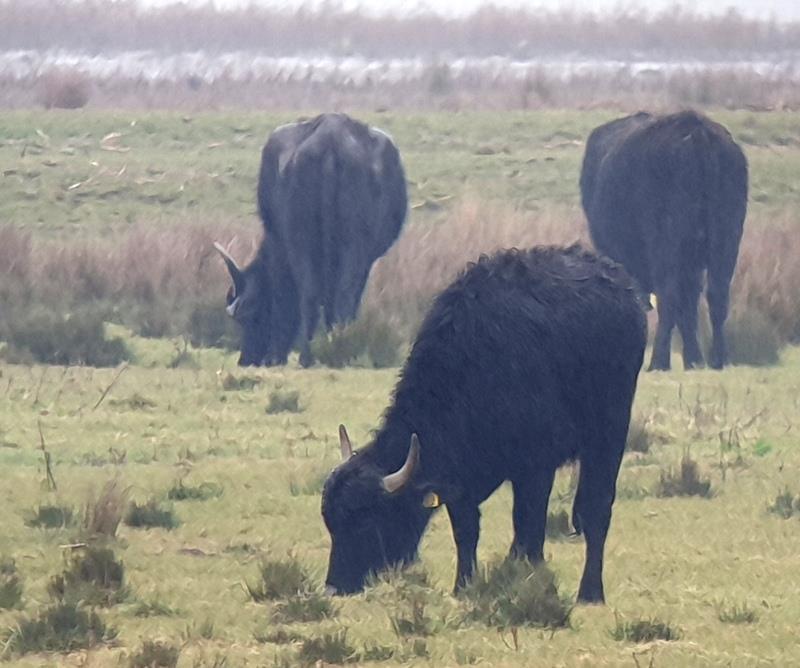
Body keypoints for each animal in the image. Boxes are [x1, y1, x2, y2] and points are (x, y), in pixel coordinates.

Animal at [214, 112, 406, 368]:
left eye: (251, 316)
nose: (247, 359)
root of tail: (331, 142)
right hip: (347, 245)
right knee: (334, 294)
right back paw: (327, 349)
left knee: (313, 294)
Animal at [322, 247, 648, 604]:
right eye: (331, 523)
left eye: (367, 522)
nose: (335, 586)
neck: (473, 369)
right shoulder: (457, 478)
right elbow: (466, 531)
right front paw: (463, 585)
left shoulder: (536, 467)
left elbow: (528, 526)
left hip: (609, 434)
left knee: (596, 510)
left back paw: (591, 592)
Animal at [580, 109, 748, 370]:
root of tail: (697, 132)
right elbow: (689, 307)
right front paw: (693, 359)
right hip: (727, 238)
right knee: (717, 295)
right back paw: (719, 359)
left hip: (668, 243)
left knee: (670, 295)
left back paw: (658, 361)